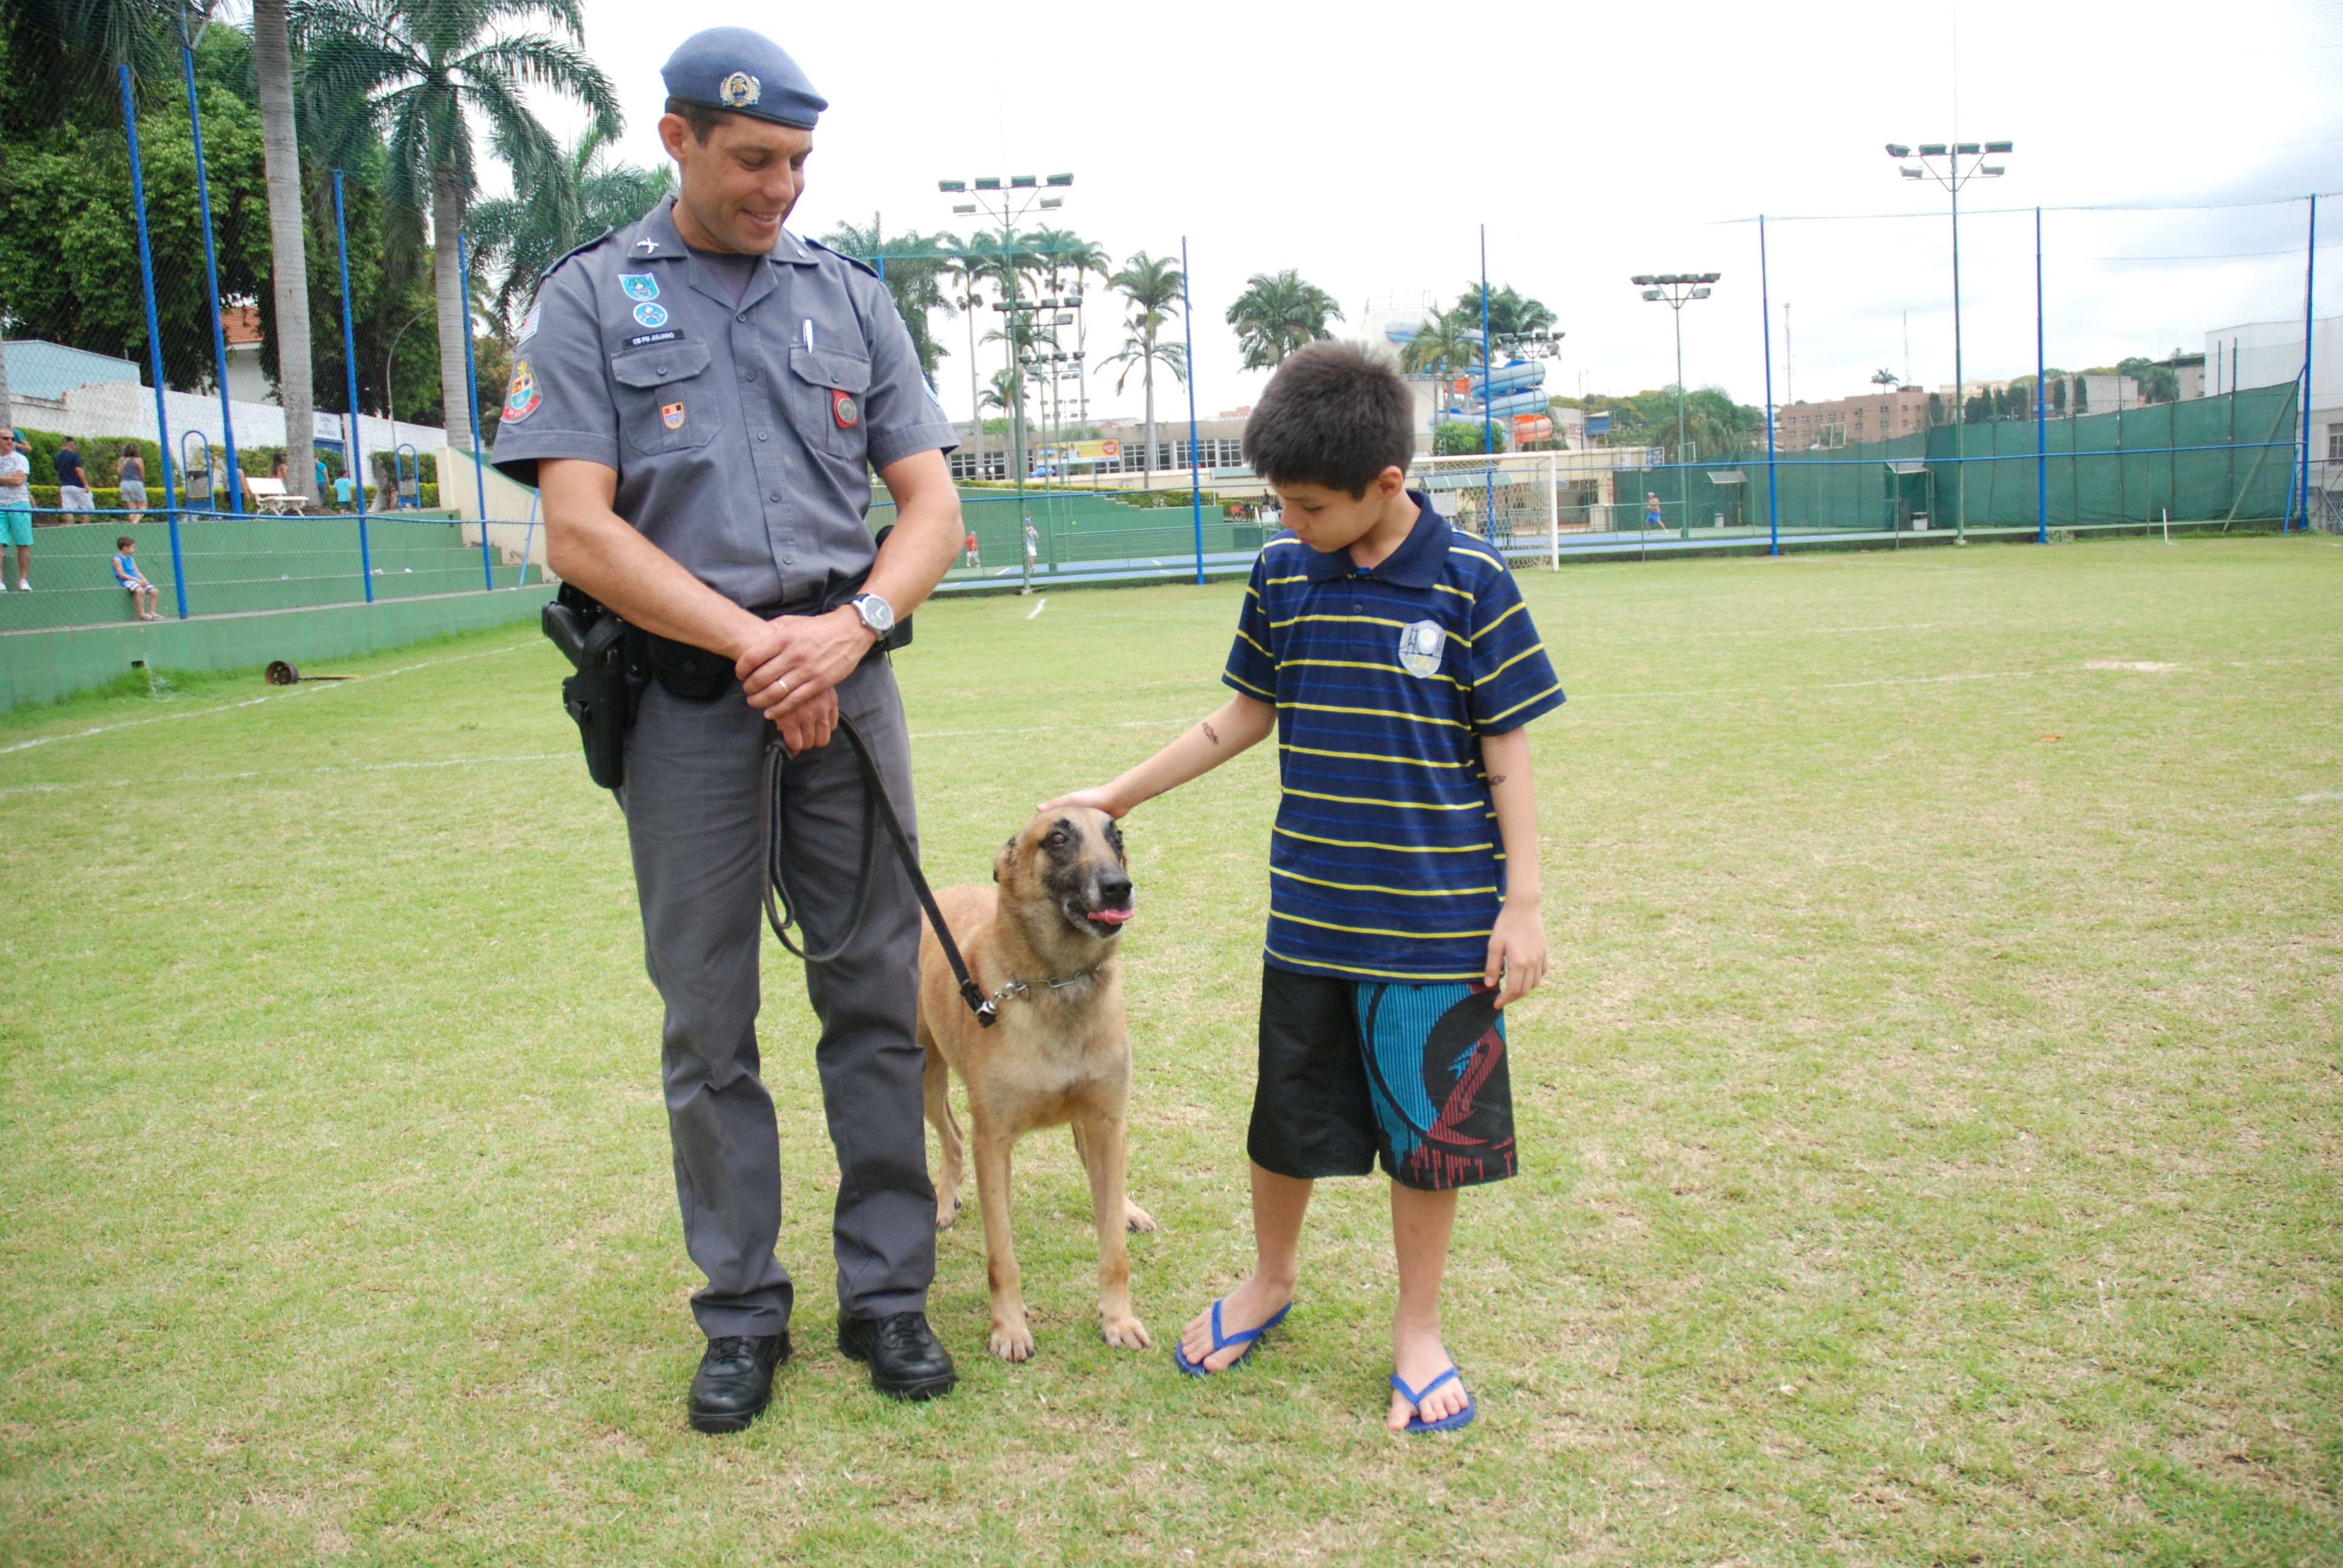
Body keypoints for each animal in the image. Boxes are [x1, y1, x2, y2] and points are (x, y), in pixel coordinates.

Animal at [915, 806, 1155, 1362]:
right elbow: (1000, 1255)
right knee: (951, 1135)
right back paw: (944, 1201)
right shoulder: (993, 1141)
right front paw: (1008, 1328)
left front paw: (1118, 1319)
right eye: (1058, 838)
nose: (1119, 887)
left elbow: (1113, 1250)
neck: (1056, 982)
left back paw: (1127, 1208)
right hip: (925, 1077)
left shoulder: (1106, 1120)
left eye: (1117, 836)